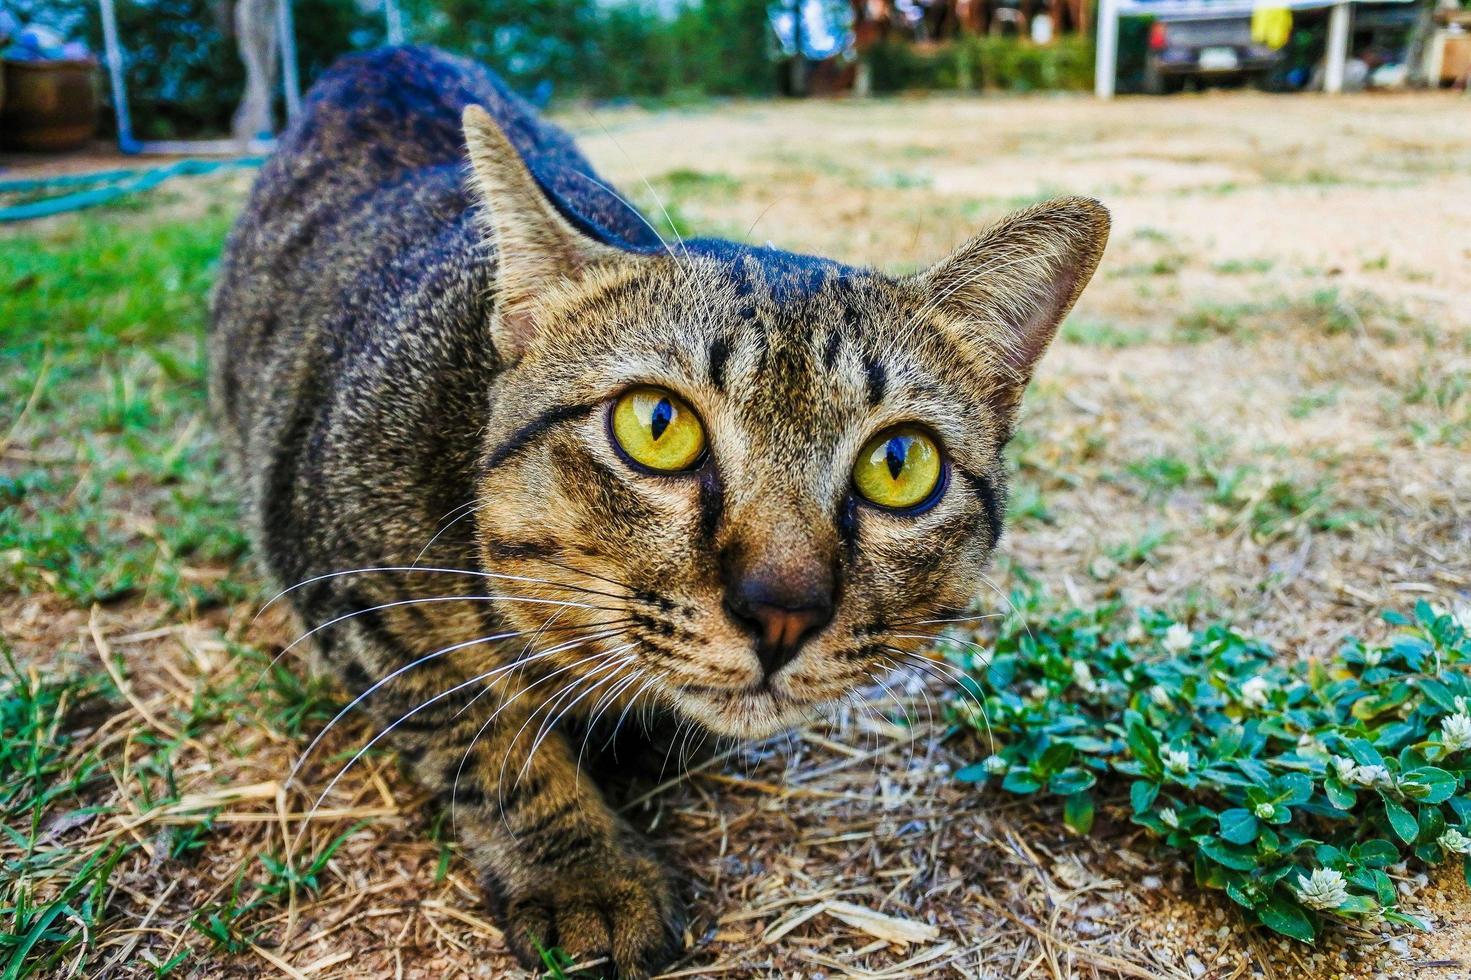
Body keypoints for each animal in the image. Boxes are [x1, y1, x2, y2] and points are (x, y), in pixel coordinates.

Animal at [213, 43, 1106, 971]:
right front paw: (583, 871)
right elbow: (483, 737)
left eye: (899, 465)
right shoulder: (348, 594)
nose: (782, 611)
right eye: (656, 426)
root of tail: (384, 51)